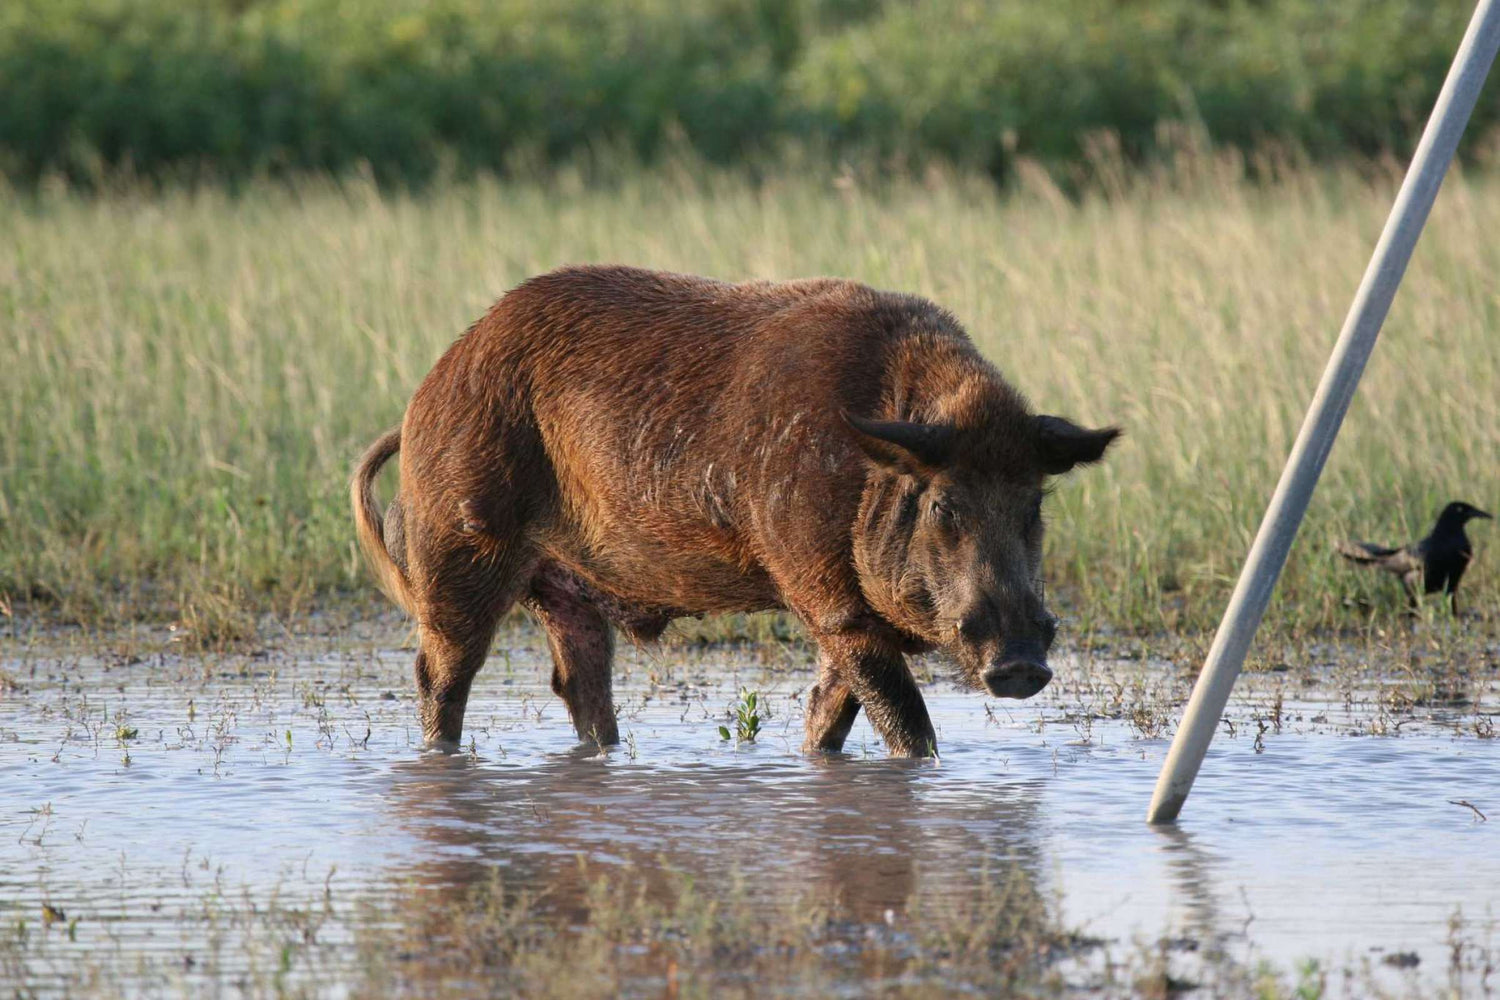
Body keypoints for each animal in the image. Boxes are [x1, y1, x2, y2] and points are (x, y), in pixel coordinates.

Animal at [351, 266, 1118, 756]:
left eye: (1033, 506)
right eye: (942, 506)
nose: (1021, 662)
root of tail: (424, 396)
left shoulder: (845, 613)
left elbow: (830, 713)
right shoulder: (822, 591)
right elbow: (906, 724)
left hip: (564, 586)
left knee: (578, 681)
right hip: (458, 545)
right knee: (440, 673)